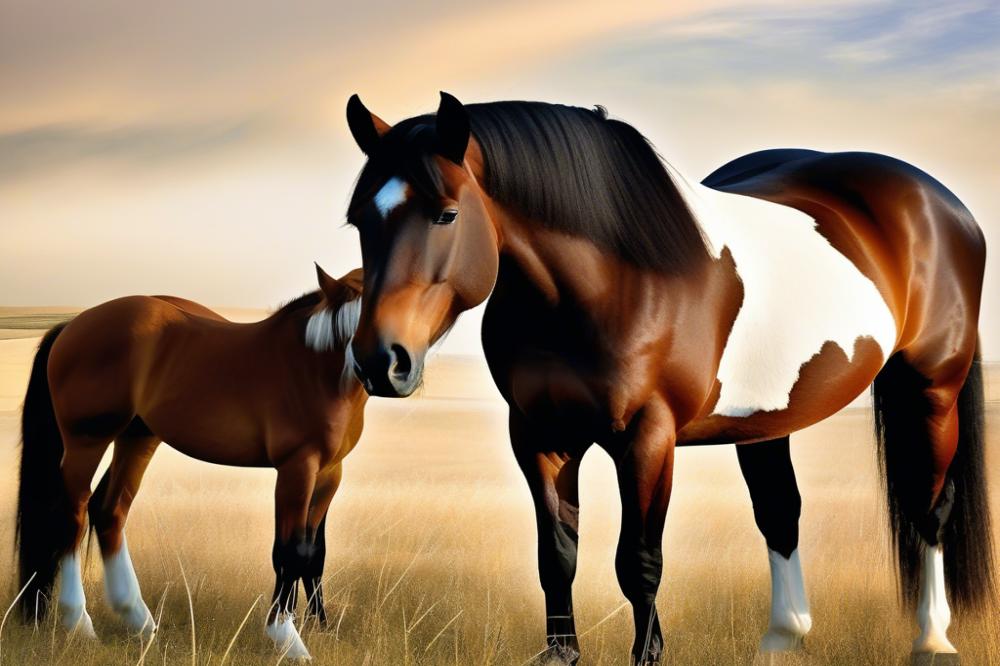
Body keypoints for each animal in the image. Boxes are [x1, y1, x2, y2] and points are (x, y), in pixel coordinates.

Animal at [16, 264, 365, 660]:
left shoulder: (330, 472)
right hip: (86, 441)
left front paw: (321, 627)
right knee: (71, 515)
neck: (317, 364)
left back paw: (139, 620)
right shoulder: (297, 469)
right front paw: (288, 639)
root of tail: (72, 325)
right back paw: (79, 623)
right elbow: (290, 550)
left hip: (137, 438)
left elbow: (314, 551)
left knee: (108, 509)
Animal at [342, 92, 993, 664]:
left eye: (447, 213)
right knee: (780, 512)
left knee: (929, 506)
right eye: (358, 221)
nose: (381, 361)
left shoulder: (647, 437)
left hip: (933, 387)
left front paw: (648, 654)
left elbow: (638, 561)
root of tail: (946, 207)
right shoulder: (537, 435)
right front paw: (561, 655)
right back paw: (782, 638)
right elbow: (557, 556)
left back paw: (933, 639)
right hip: (767, 419)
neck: (612, 280)